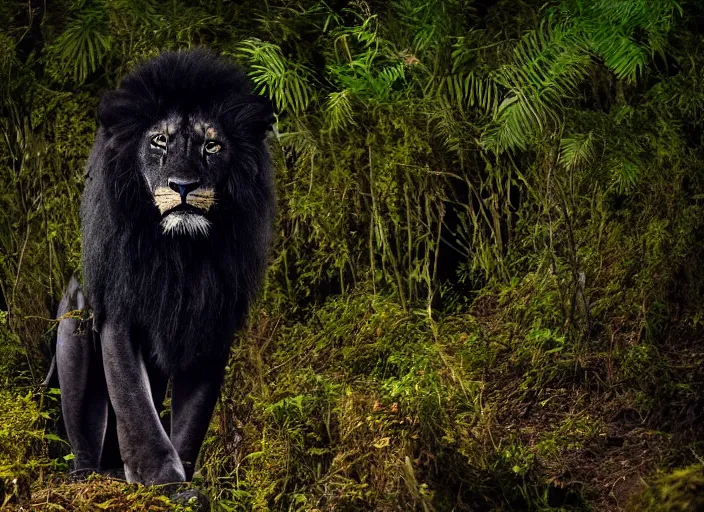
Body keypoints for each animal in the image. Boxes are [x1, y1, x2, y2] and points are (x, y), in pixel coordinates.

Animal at [55, 50, 276, 486]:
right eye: (160, 140)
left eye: (212, 145)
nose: (184, 185)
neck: (179, 253)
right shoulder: (119, 307)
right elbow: (132, 399)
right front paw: (159, 476)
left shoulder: (214, 317)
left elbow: (194, 415)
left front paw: (182, 479)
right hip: (76, 309)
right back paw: (88, 473)